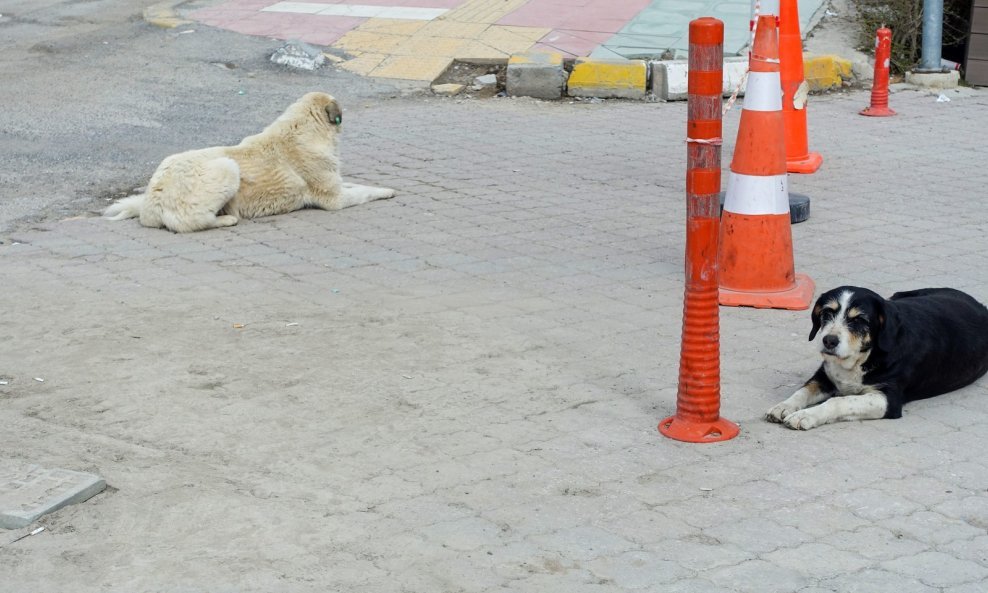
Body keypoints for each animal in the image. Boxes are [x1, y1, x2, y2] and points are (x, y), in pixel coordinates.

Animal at [101, 91, 394, 232]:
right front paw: (386, 190)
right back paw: (226, 220)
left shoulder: (338, 186)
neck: (304, 129)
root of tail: (151, 200)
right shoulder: (334, 200)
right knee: (190, 223)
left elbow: (356, 185)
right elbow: (365, 192)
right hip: (227, 168)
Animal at [768, 284, 988, 428]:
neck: (861, 360)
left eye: (859, 320)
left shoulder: (888, 399)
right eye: (827, 313)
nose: (829, 341)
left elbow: (840, 401)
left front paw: (805, 416)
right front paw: (784, 406)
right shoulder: (824, 376)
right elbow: (803, 391)